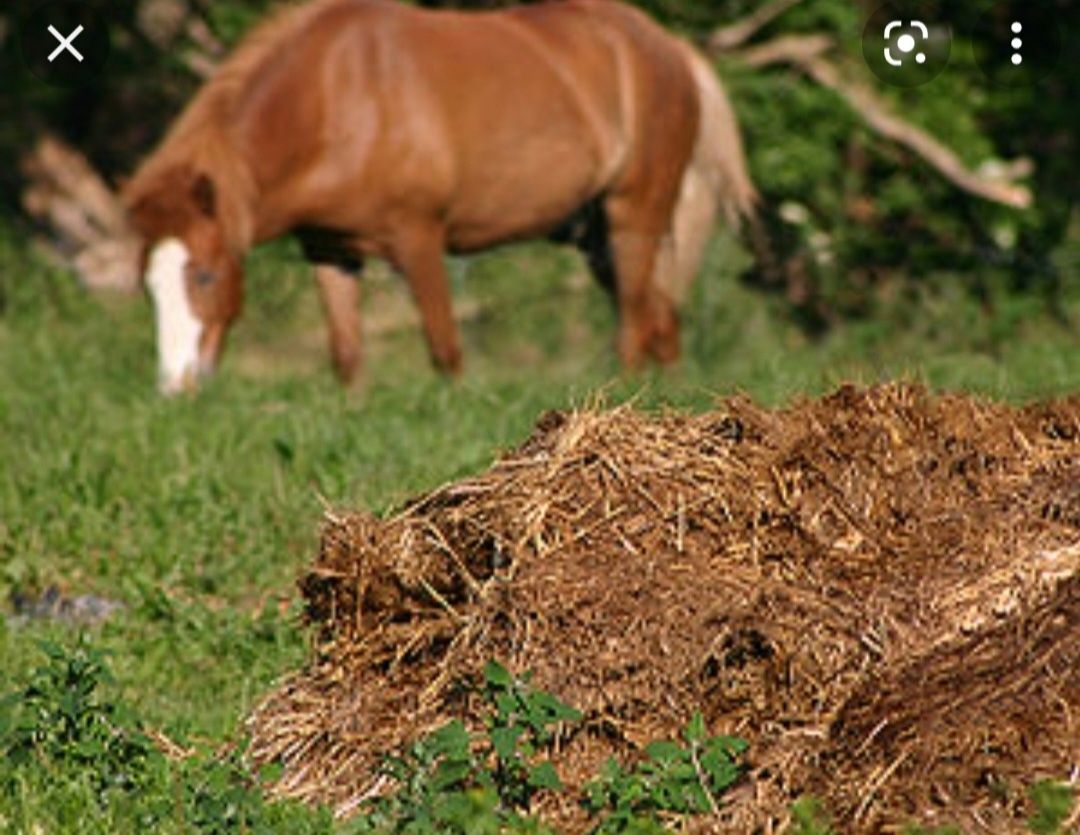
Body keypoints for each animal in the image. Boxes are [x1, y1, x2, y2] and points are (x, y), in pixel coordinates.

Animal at [124, 0, 751, 393]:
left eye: (204, 275)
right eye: (149, 285)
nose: (176, 385)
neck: (336, 98)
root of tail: (670, 48)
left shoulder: (418, 239)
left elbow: (445, 348)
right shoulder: (330, 251)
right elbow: (347, 355)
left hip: (633, 217)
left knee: (634, 325)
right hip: (596, 237)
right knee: (661, 317)